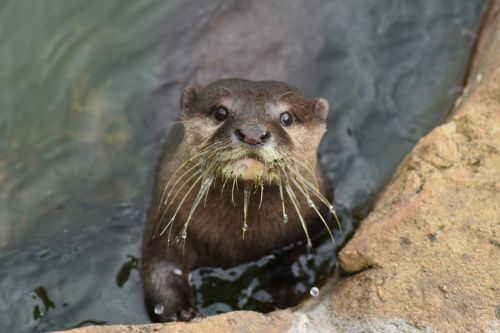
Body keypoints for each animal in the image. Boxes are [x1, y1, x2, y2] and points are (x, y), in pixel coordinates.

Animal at [141, 78, 336, 322]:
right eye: (220, 112)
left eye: (287, 117)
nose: (252, 133)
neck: (240, 243)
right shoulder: (166, 216)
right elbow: (159, 268)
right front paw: (181, 312)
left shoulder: (309, 227)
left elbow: (294, 260)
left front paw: (282, 295)